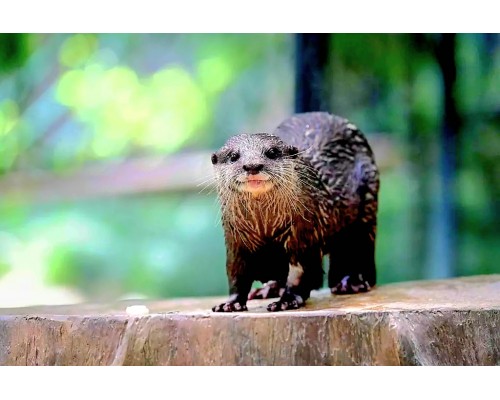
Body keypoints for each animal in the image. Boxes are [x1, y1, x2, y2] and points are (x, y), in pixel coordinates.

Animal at [210, 112, 378, 312]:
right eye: (234, 156)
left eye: (272, 152)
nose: (252, 166)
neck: (264, 228)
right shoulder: (236, 241)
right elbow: (236, 275)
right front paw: (231, 303)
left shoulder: (303, 235)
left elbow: (300, 272)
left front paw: (287, 300)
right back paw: (269, 289)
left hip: (366, 204)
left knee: (356, 245)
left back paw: (352, 282)